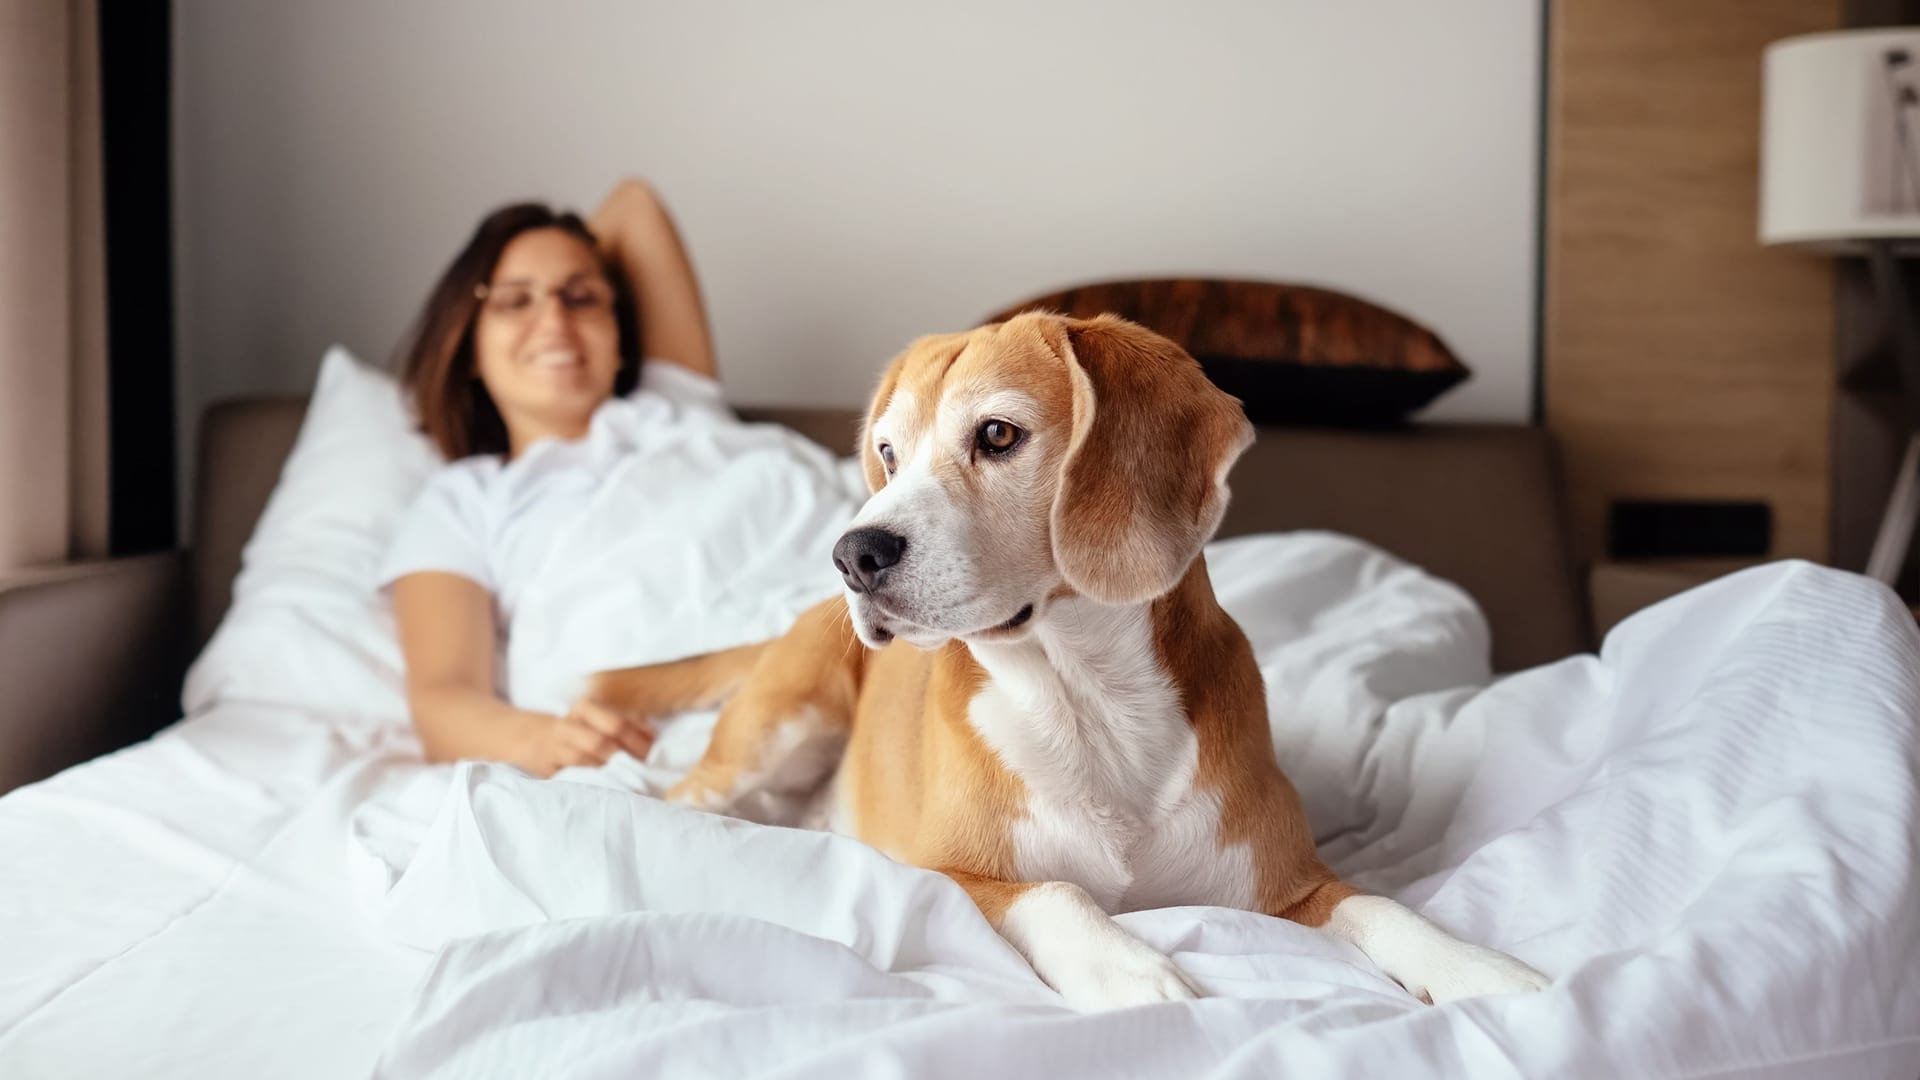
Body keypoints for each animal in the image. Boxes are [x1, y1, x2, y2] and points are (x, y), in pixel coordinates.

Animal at [591, 311, 1551, 1006]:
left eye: (998, 436)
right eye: (889, 454)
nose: (852, 554)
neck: (1087, 698)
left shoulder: (1292, 887)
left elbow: (1385, 906)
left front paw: (1478, 968)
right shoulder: (947, 874)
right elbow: (1057, 893)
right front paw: (1128, 968)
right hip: (776, 729)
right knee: (677, 799)